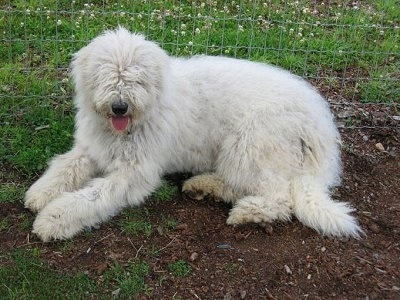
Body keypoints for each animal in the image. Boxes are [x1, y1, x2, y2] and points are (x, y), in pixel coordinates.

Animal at [24, 26, 362, 241]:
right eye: (107, 75)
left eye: (136, 79)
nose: (120, 107)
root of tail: (322, 131)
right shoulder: (92, 148)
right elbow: (65, 166)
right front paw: (41, 193)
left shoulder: (134, 173)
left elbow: (93, 195)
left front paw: (54, 218)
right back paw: (205, 186)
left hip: (249, 144)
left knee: (279, 198)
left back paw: (245, 211)